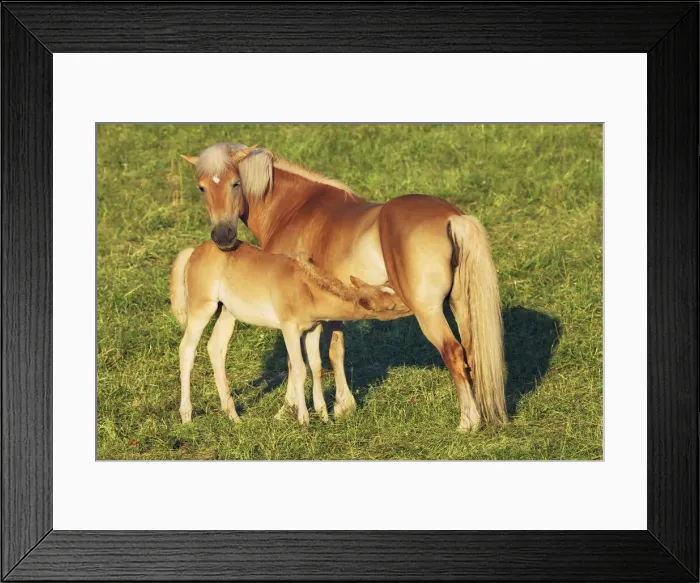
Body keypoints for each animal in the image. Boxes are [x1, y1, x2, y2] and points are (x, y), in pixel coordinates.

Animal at [170, 239, 409, 427]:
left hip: (227, 312)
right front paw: (304, 420)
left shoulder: (313, 329)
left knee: (216, 348)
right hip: (202, 307)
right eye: (391, 307)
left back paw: (233, 416)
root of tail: (193, 252)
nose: (410, 303)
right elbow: (300, 369)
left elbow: (316, 366)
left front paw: (323, 416)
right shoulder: (289, 329)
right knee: (187, 349)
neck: (306, 288)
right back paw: (187, 416)